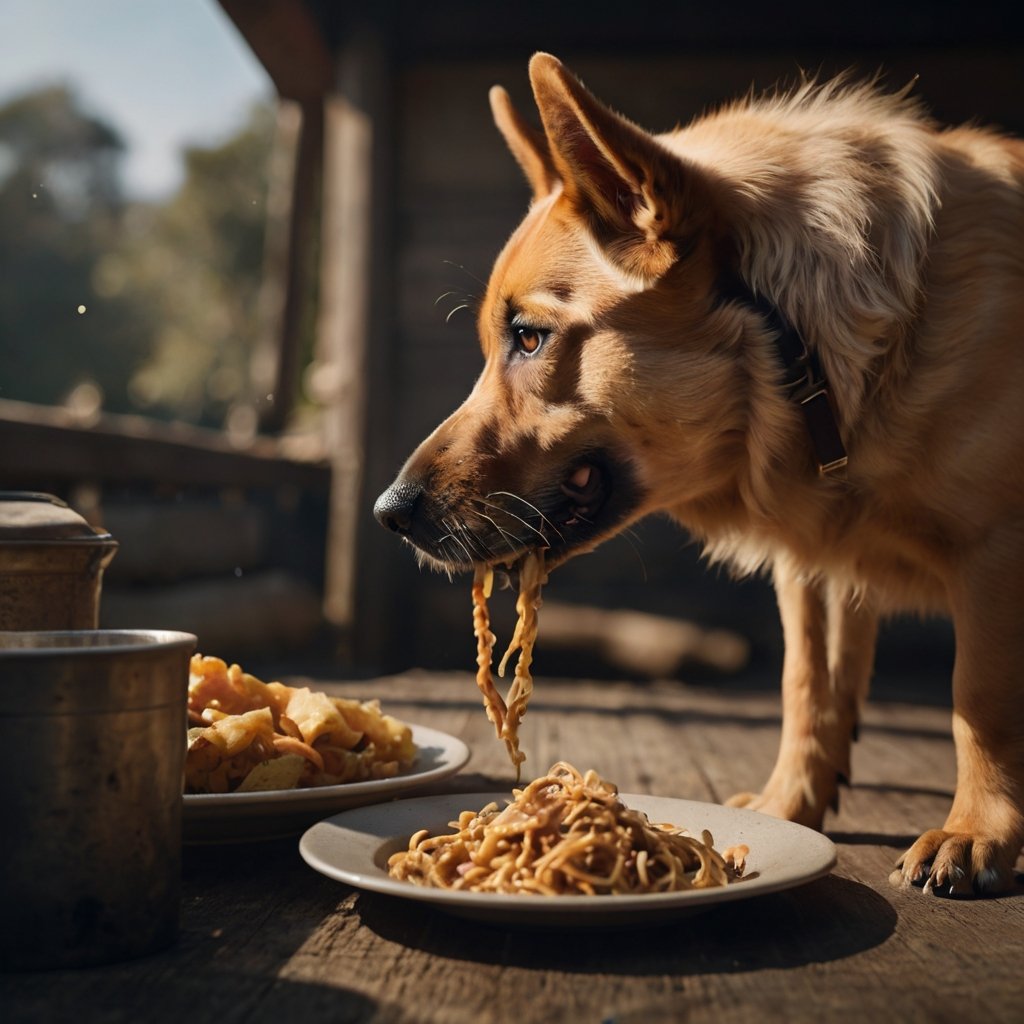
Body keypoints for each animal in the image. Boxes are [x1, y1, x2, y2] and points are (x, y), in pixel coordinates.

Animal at [376, 51, 1024, 892]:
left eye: (529, 337)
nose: (388, 512)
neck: (802, 354)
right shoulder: (816, 571)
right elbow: (808, 689)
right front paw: (788, 807)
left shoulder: (995, 553)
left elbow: (979, 699)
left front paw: (976, 832)